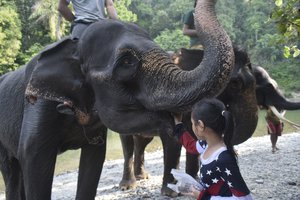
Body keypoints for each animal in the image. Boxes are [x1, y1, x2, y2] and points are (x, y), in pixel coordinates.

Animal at [0, 0, 250, 199]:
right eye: (127, 62)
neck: (74, 47)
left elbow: (93, 161)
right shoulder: (39, 106)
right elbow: (34, 159)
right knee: (12, 171)